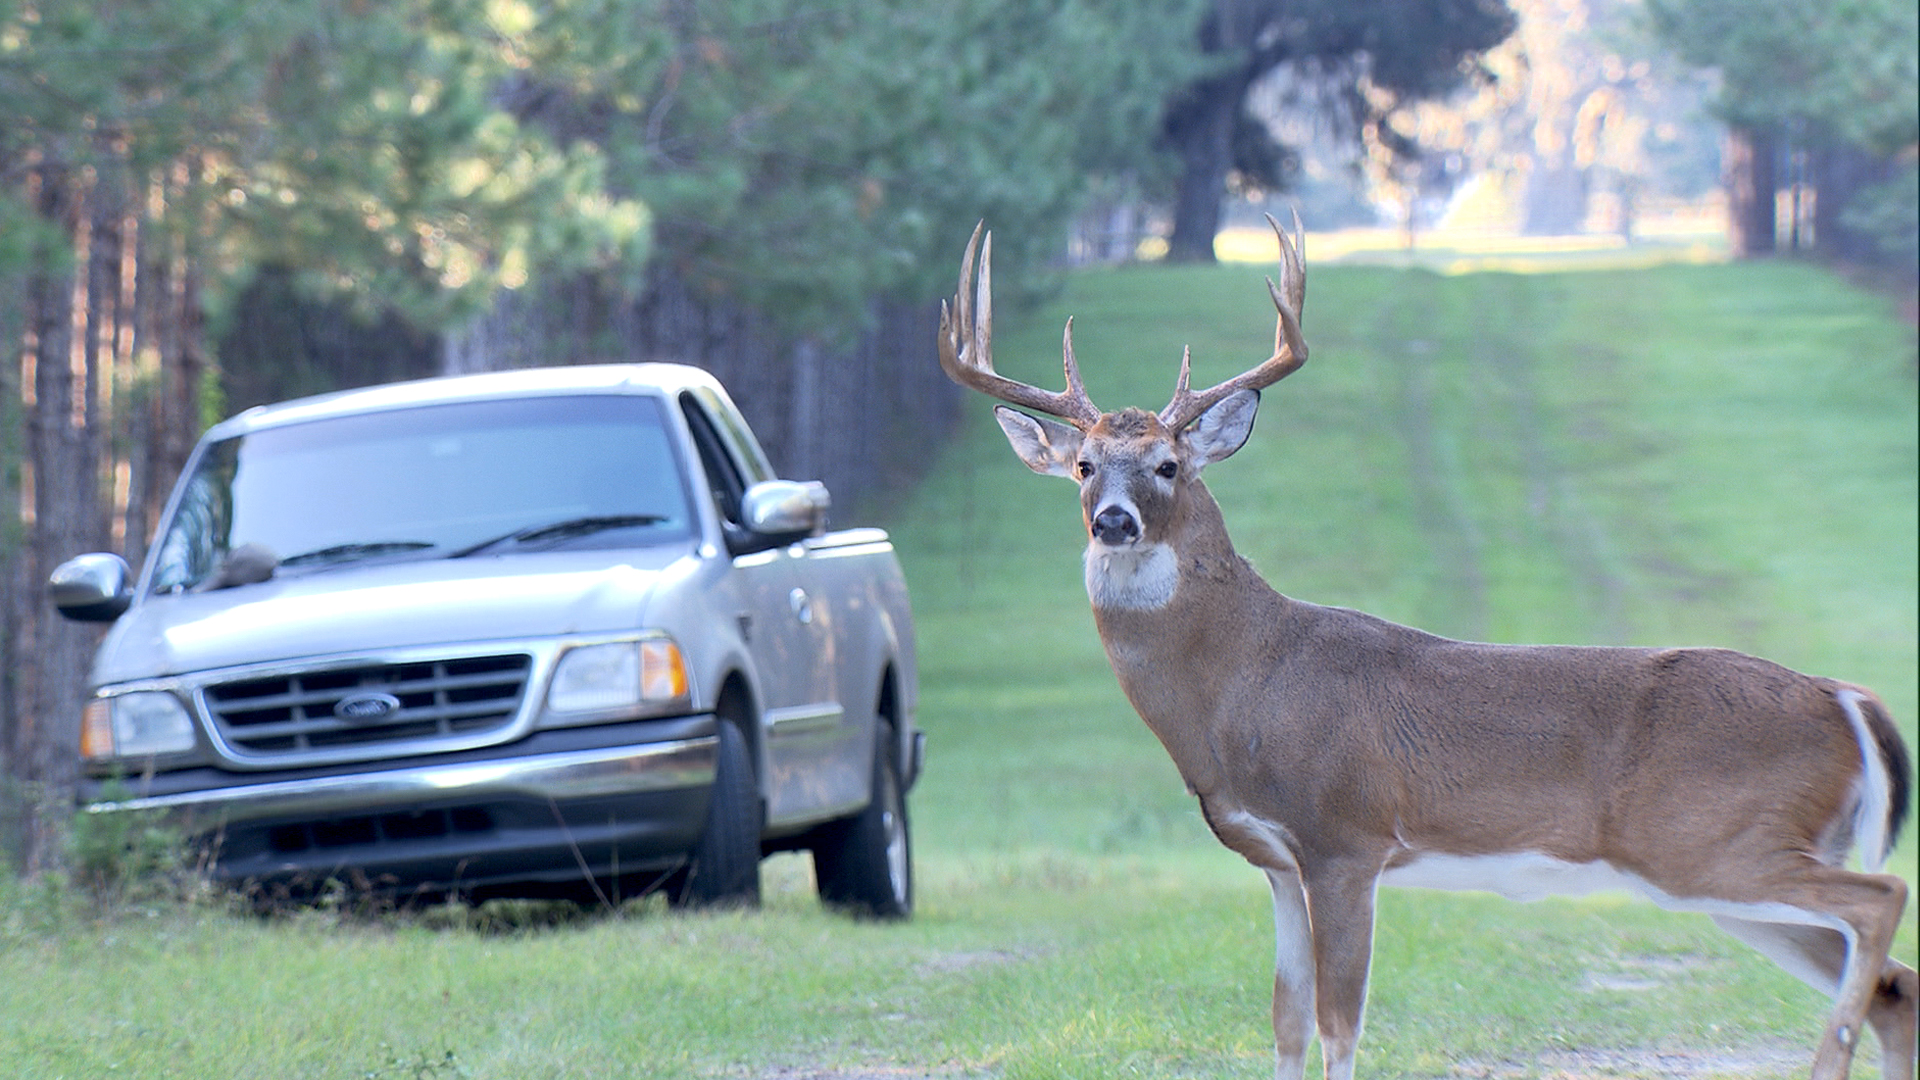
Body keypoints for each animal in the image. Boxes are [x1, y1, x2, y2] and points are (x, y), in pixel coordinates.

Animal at [936, 215, 1916, 1080]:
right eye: (1082, 465)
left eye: (1168, 466)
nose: (1113, 521)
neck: (1242, 685)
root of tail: (1843, 697)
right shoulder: (1276, 862)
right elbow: (1285, 1022)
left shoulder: (1347, 836)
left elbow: (1341, 1026)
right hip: (1736, 864)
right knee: (1895, 990)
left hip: (1717, 840)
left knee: (1884, 904)